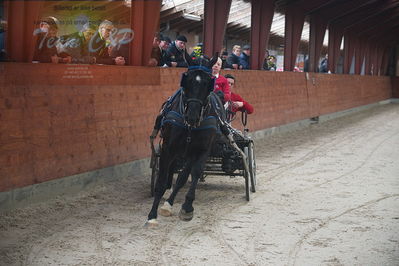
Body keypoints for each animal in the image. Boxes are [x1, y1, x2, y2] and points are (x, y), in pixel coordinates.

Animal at [147, 55, 228, 224]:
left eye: (207, 84)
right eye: (187, 81)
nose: (192, 115)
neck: (190, 125)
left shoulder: (200, 150)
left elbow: (192, 174)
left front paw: (187, 207)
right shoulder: (168, 148)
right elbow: (161, 180)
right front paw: (152, 214)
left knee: (182, 177)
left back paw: (169, 203)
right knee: (170, 170)